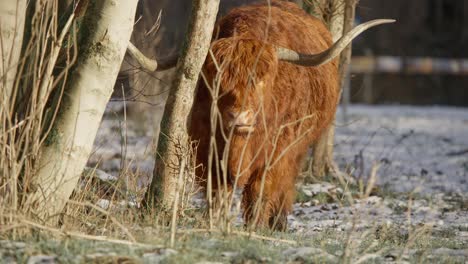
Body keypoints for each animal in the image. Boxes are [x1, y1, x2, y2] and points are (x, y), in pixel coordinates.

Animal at [188, 1, 394, 230]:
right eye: (217, 80)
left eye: (262, 80)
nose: (240, 117)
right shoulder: (207, 148)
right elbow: (217, 190)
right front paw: (214, 222)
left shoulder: (277, 151)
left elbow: (261, 190)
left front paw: (256, 227)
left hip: (298, 147)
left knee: (286, 182)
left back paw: (278, 222)